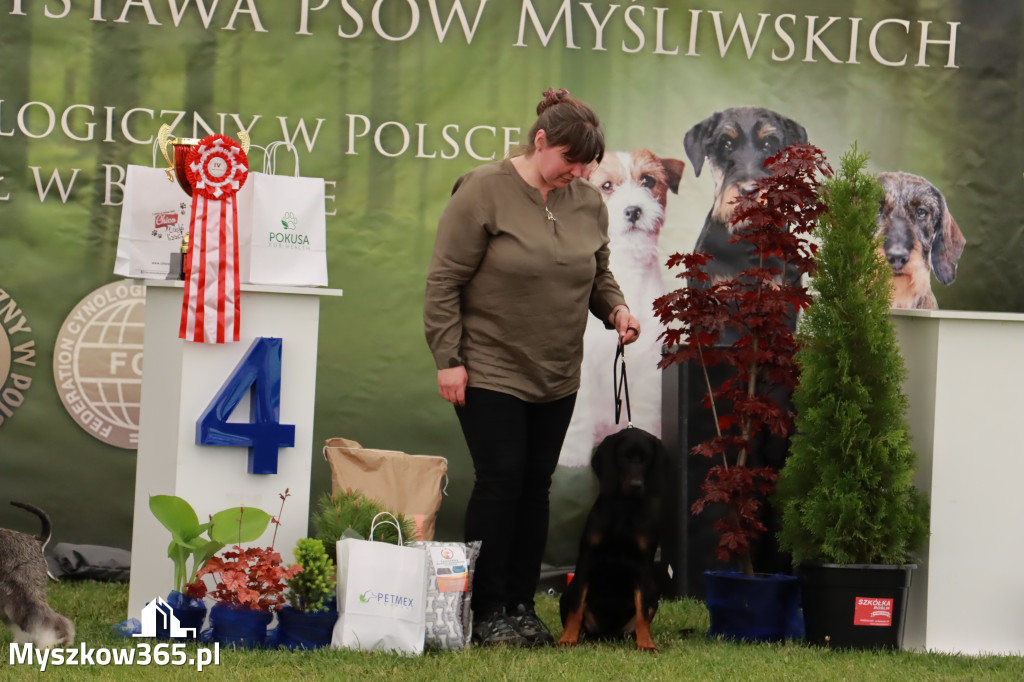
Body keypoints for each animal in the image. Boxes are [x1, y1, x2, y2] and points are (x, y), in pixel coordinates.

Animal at [557, 425, 667, 647]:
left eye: (647, 458)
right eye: (624, 457)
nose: (636, 485)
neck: (624, 508)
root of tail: (607, 634)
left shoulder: (643, 564)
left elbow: (642, 611)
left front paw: (646, 644)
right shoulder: (587, 559)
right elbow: (576, 607)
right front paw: (568, 639)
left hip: (654, 596)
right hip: (566, 592)